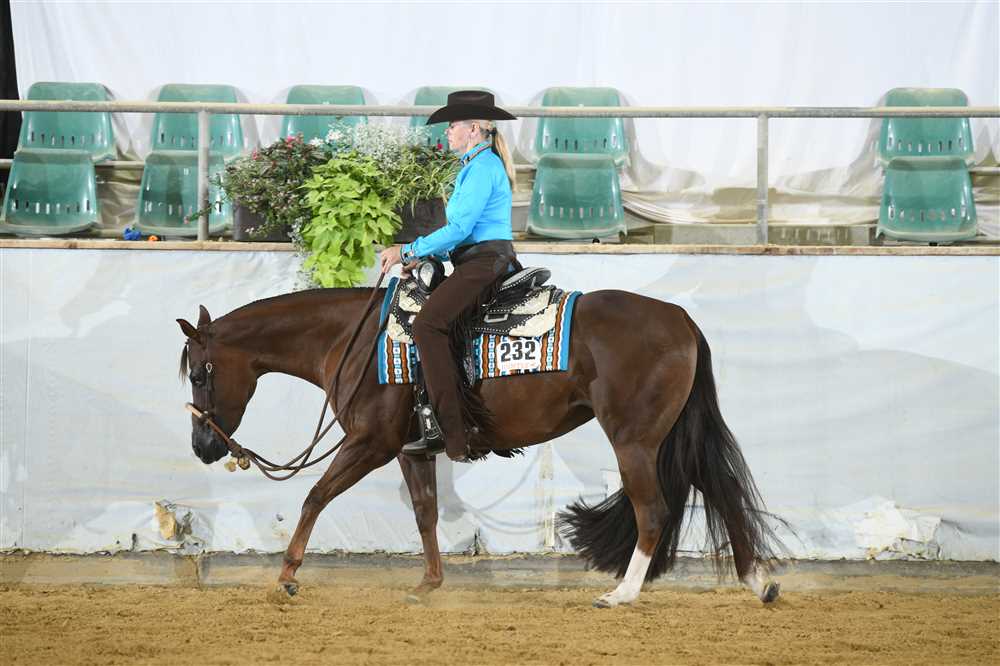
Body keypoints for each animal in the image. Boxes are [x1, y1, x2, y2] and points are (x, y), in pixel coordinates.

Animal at [176, 284, 782, 608]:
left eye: (201, 374)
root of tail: (679, 318)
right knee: (722, 490)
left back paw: (622, 594)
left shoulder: (369, 442)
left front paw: (287, 576)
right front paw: (428, 583)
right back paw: (757, 581)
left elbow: (315, 497)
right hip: (673, 437)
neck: (353, 340)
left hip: (635, 440)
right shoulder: (412, 448)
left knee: (652, 510)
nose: (203, 446)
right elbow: (424, 512)